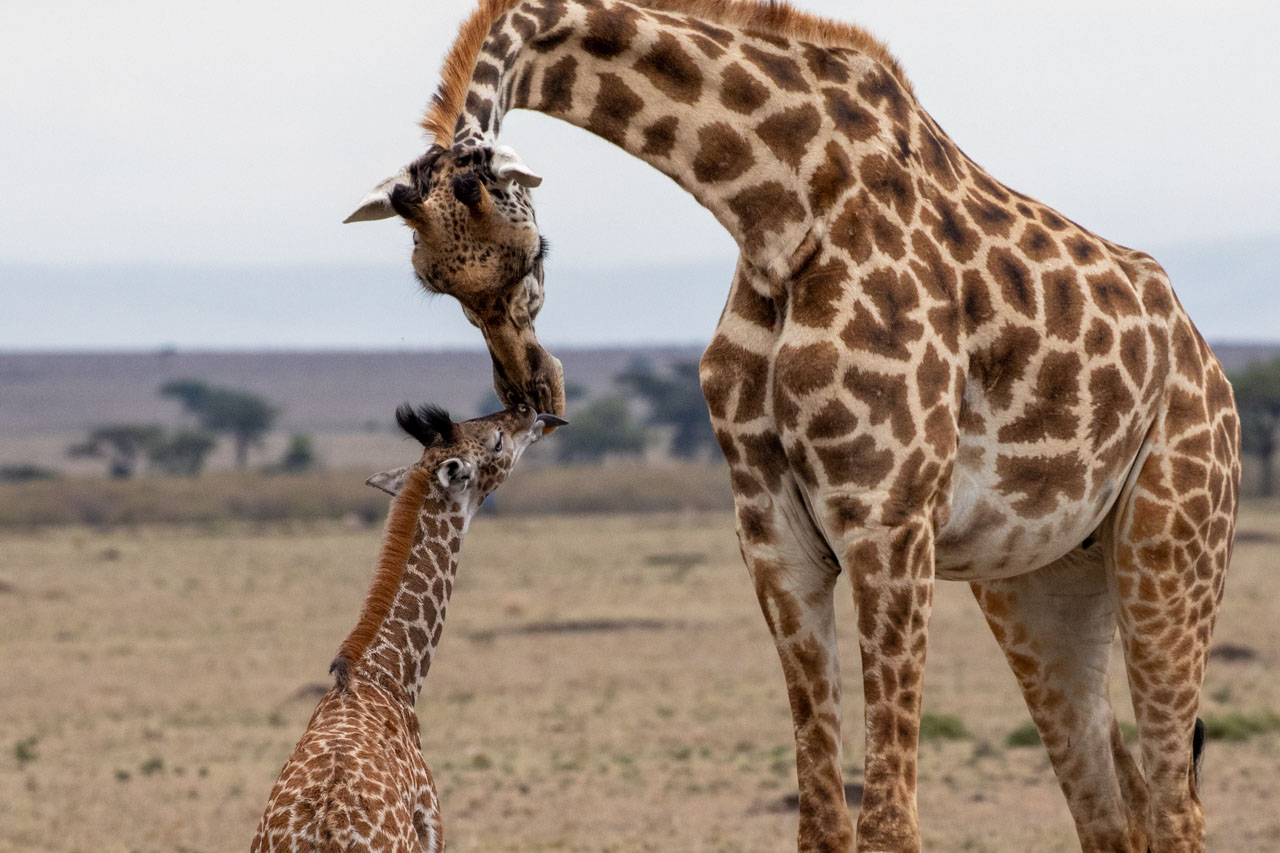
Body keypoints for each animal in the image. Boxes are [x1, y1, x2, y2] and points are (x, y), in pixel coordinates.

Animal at [343, 3, 1239, 845]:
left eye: (535, 254)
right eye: (437, 285)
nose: (535, 389)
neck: (777, 207)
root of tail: (1210, 367)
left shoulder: (890, 521)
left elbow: (889, 824)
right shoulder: (774, 534)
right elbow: (820, 819)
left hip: (1172, 545)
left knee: (1178, 805)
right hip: (1038, 578)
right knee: (1114, 809)